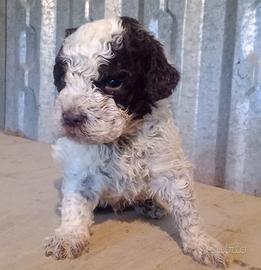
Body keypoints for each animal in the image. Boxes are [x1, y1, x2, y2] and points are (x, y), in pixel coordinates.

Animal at [44, 16, 228, 268]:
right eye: (63, 79)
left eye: (114, 81)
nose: (70, 118)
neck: (121, 140)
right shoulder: (80, 172)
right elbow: (74, 205)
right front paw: (69, 236)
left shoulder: (170, 168)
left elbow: (187, 210)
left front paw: (201, 242)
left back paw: (150, 205)